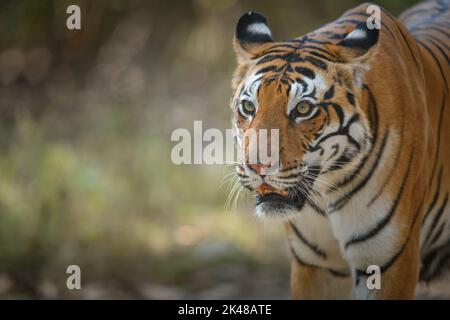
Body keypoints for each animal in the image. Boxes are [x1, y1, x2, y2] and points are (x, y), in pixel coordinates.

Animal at [230, 0, 448, 300]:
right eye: (249, 106)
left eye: (303, 109)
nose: (257, 167)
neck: (326, 191)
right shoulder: (316, 265)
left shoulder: (389, 263)